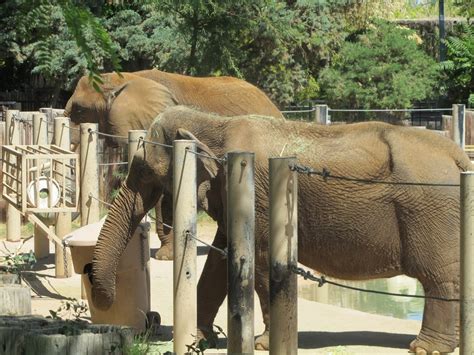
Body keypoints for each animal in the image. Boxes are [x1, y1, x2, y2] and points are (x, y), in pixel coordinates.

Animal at [90, 106, 468, 355]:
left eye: (146, 169)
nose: (150, 321)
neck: (214, 122)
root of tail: (459, 156)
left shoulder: (256, 192)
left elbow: (258, 262)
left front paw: (259, 344)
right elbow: (219, 262)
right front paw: (199, 339)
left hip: (431, 210)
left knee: (438, 278)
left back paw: (426, 348)